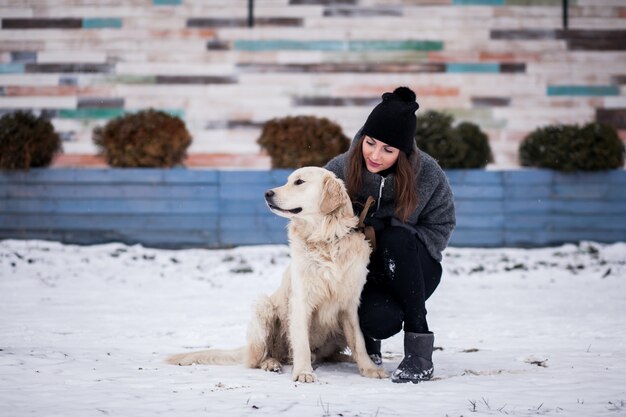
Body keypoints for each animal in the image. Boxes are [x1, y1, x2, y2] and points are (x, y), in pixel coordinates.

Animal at [168, 167, 388, 382]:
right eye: (288, 180)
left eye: (299, 182)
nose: (267, 193)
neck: (325, 239)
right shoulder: (300, 301)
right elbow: (301, 342)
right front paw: (303, 372)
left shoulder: (349, 305)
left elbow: (359, 341)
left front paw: (369, 368)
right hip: (263, 307)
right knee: (258, 358)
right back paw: (271, 363)